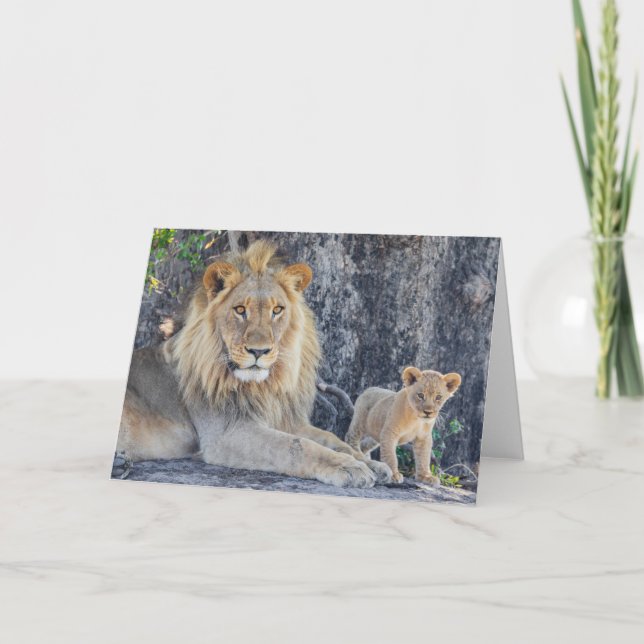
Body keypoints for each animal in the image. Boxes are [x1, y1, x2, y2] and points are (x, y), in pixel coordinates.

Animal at [115, 240, 392, 488]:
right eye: (240, 310)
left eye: (277, 310)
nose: (259, 351)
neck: (263, 387)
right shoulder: (226, 433)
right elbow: (296, 446)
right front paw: (350, 467)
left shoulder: (286, 420)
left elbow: (331, 438)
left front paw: (372, 464)